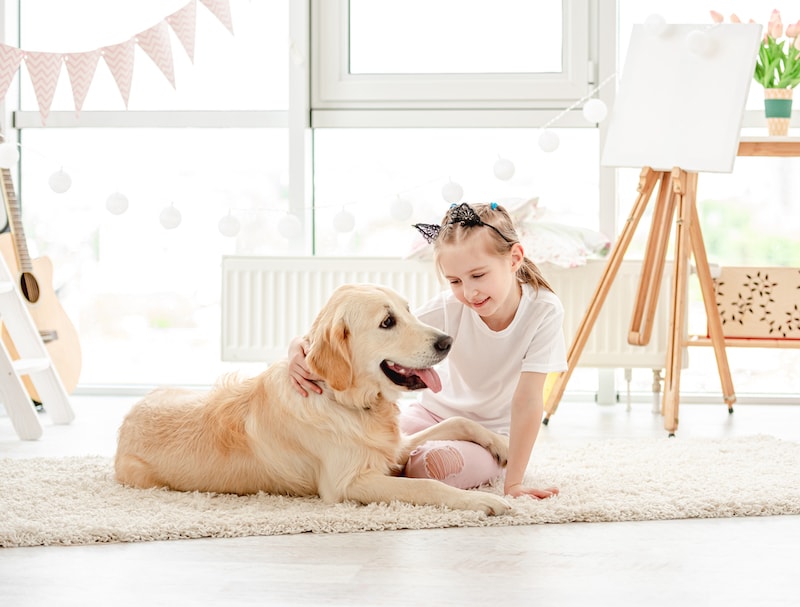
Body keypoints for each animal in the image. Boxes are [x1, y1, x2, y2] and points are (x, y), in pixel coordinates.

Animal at [115, 282, 510, 516]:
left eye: (409, 310)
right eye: (387, 322)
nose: (447, 341)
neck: (348, 401)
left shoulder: (391, 448)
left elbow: (457, 421)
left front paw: (501, 445)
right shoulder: (348, 483)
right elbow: (428, 484)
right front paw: (483, 499)